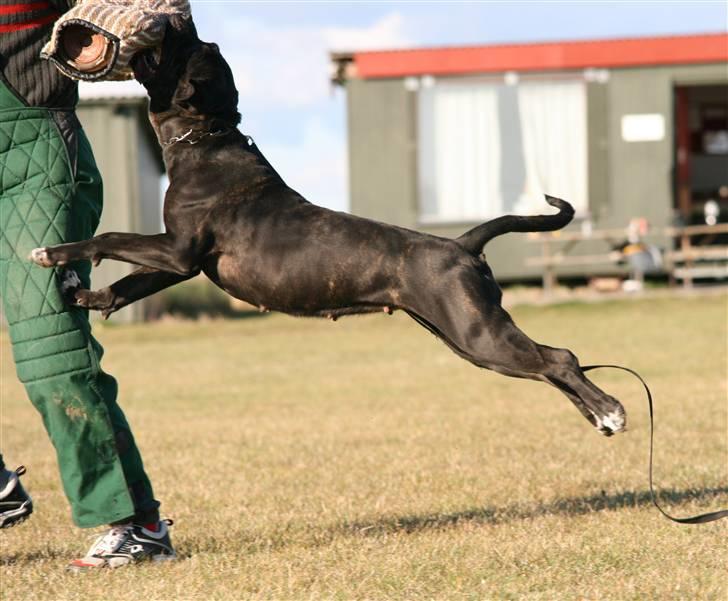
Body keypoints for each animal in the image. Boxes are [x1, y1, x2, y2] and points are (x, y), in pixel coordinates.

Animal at [31, 21, 624, 436]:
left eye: (184, 49)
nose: (183, 23)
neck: (208, 136)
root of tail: (460, 243)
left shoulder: (176, 251)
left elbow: (110, 238)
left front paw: (53, 254)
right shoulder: (180, 263)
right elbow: (128, 285)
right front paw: (85, 296)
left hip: (479, 333)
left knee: (559, 359)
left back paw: (612, 411)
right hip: (468, 339)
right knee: (549, 366)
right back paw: (597, 416)